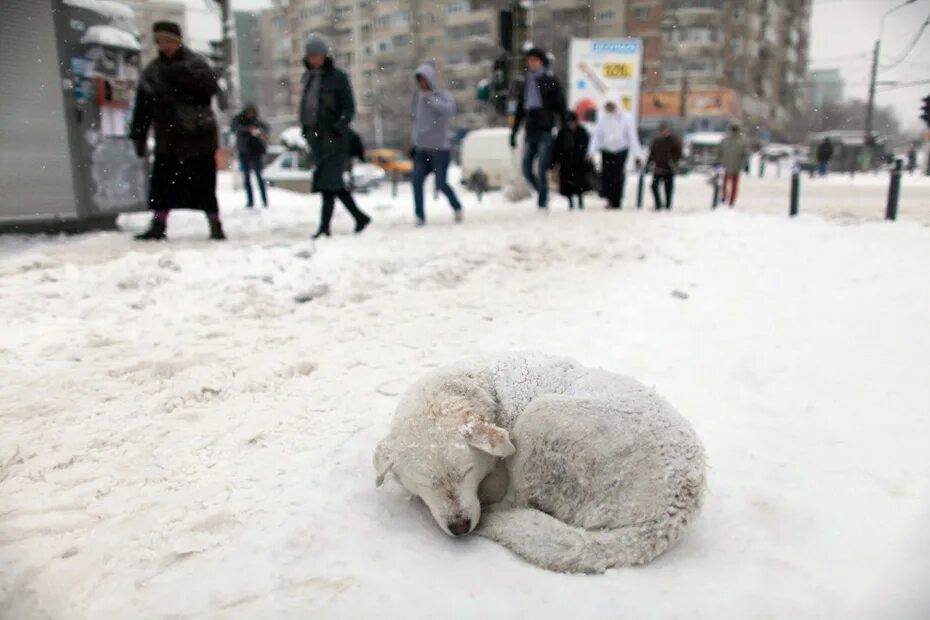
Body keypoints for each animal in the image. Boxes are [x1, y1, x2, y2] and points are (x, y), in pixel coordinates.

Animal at [370, 352, 704, 572]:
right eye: (427, 484)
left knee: (517, 501)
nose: (460, 527)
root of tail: (676, 506)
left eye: (467, 472)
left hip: (540, 417)